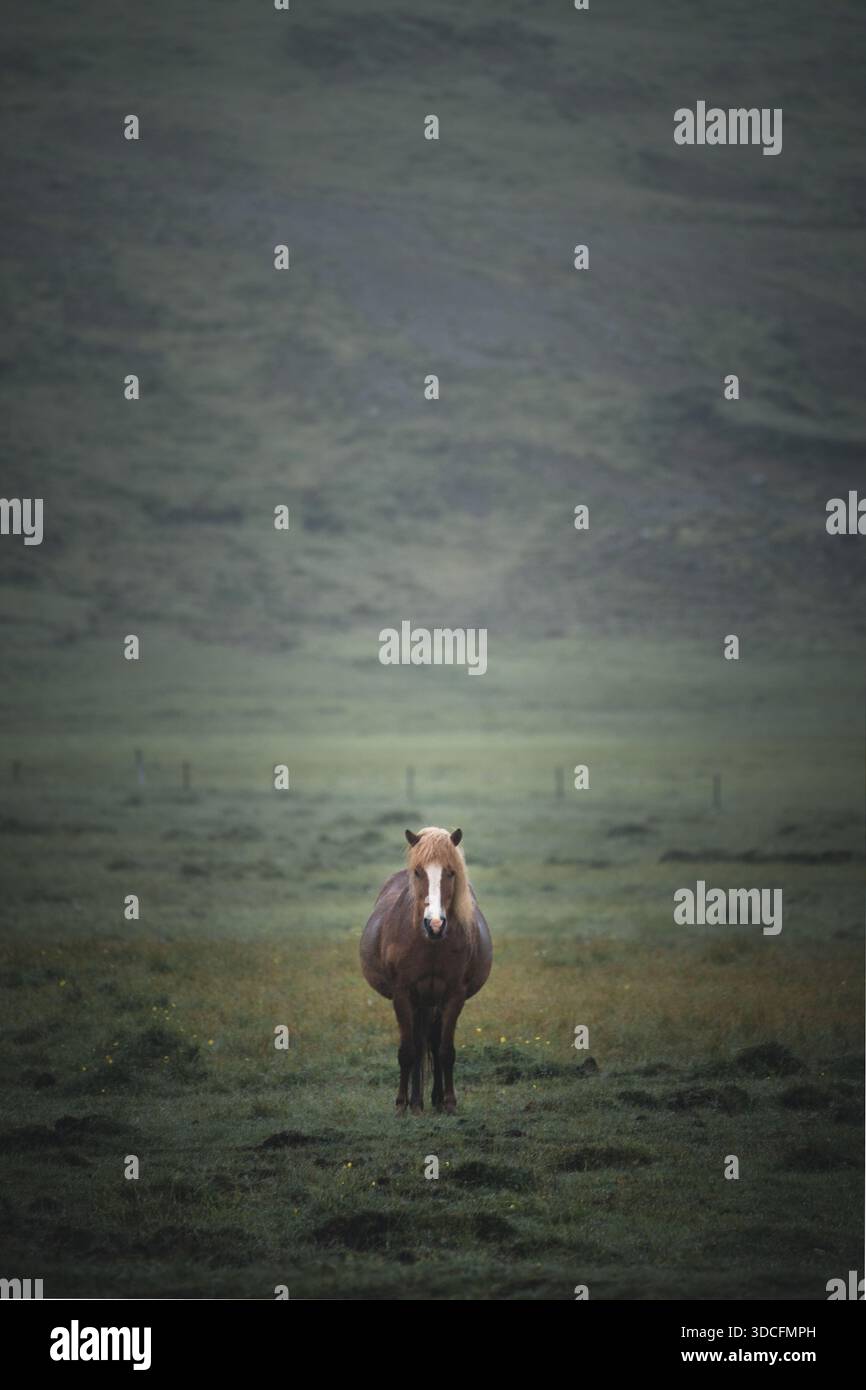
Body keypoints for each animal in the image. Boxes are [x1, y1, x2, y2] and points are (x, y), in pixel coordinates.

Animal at [360, 826, 493, 1115]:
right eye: (419, 872)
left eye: (451, 872)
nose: (435, 925)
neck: (429, 944)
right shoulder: (402, 994)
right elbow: (408, 1051)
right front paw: (402, 1105)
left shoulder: (454, 995)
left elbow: (445, 1050)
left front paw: (450, 1102)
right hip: (420, 1001)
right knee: (420, 1044)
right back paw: (417, 1102)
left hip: (432, 1001)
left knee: (430, 1041)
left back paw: (434, 1099)